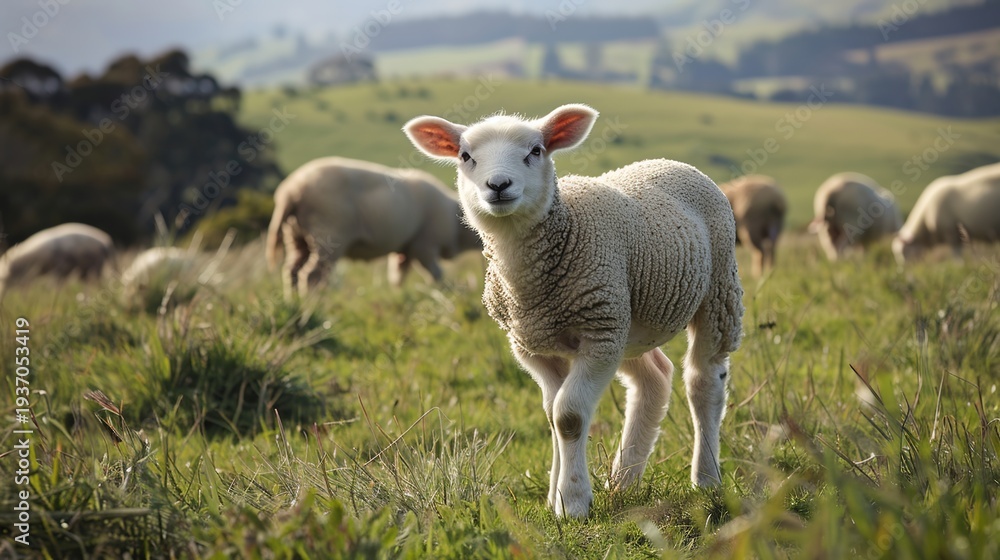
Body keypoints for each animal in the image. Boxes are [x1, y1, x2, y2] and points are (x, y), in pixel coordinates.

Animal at [266, 156, 483, 300]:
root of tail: (291, 192)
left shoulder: (406, 249)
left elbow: (397, 276)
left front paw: (399, 295)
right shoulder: (425, 245)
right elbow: (436, 273)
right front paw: (439, 292)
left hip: (295, 236)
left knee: (291, 271)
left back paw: (293, 301)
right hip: (327, 235)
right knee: (311, 274)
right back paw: (313, 302)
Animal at [404, 104, 744, 518]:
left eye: (535, 151)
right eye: (466, 156)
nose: (498, 185)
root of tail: (670, 162)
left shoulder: (597, 336)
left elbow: (569, 417)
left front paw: (573, 501)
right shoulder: (534, 346)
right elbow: (552, 415)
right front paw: (555, 496)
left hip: (716, 290)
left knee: (703, 380)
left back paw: (705, 477)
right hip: (627, 321)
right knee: (654, 378)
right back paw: (623, 480)